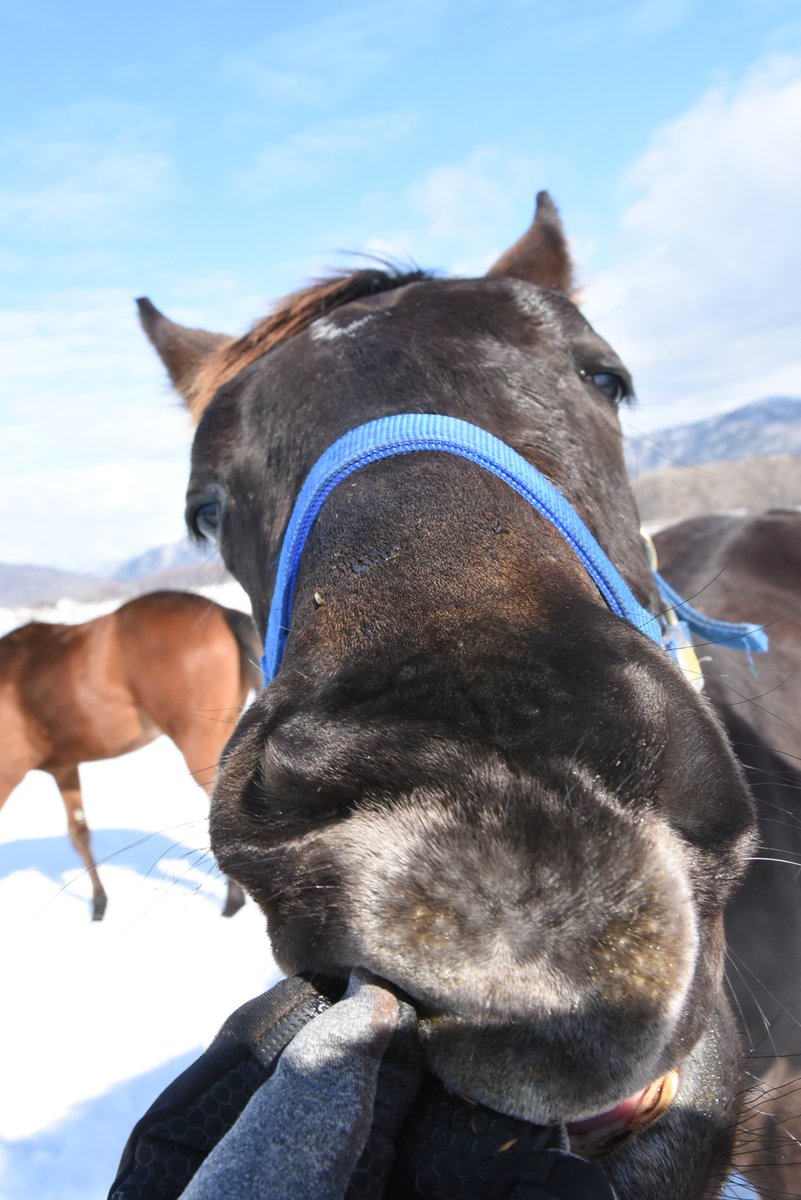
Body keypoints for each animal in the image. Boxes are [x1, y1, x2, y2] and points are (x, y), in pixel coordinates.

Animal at [0, 590, 261, 920]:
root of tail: (220, 612)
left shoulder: (8, 774)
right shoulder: (64, 767)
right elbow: (79, 833)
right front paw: (99, 904)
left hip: (199, 744)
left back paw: (235, 900)